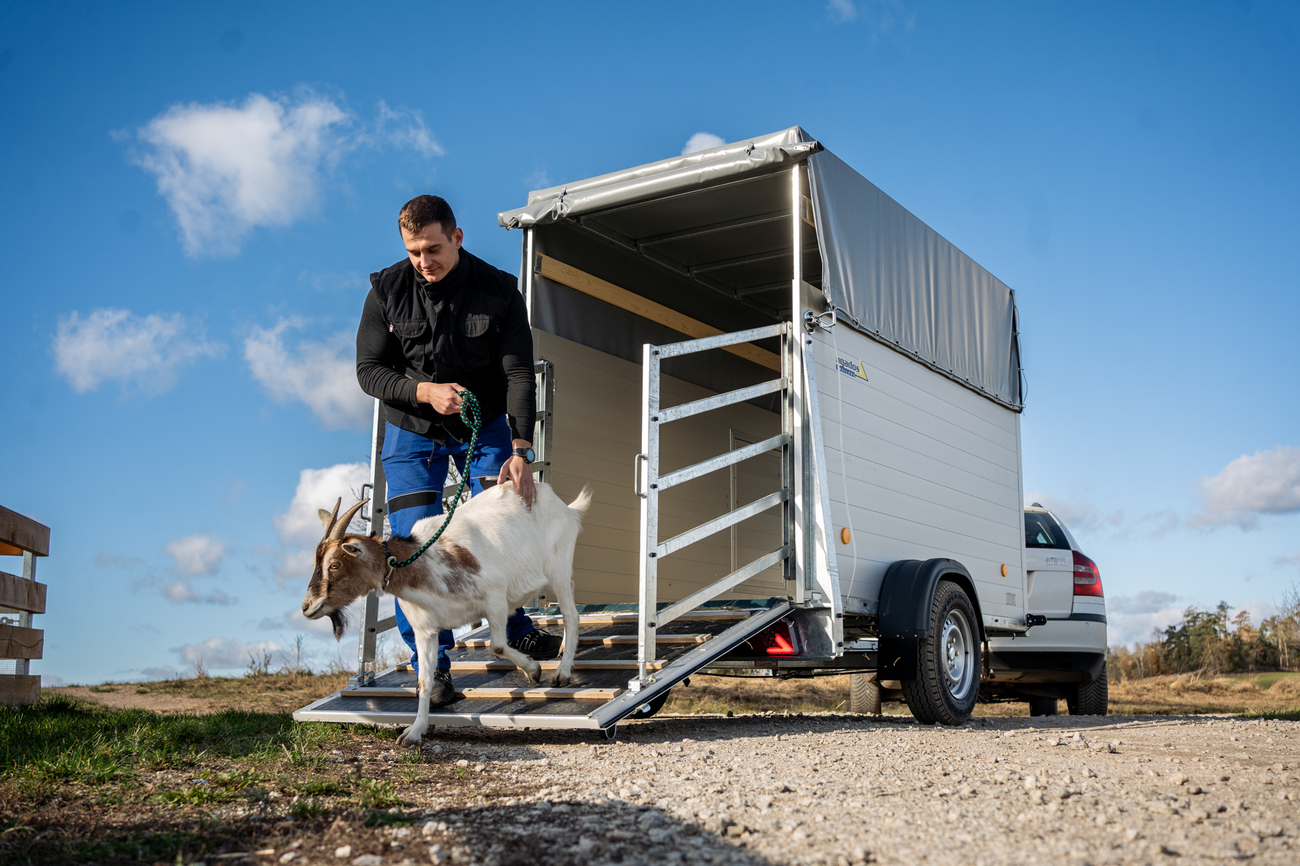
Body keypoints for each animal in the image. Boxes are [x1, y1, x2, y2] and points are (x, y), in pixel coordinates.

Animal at [301, 478, 592, 743]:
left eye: (335, 564)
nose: (306, 607)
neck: (424, 562)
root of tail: (565, 508)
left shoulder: (495, 596)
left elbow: (496, 646)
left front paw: (533, 669)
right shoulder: (426, 630)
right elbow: (425, 681)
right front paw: (414, 732)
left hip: (557, 565)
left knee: (571, 614)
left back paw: (563, 673)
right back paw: (563, 651)